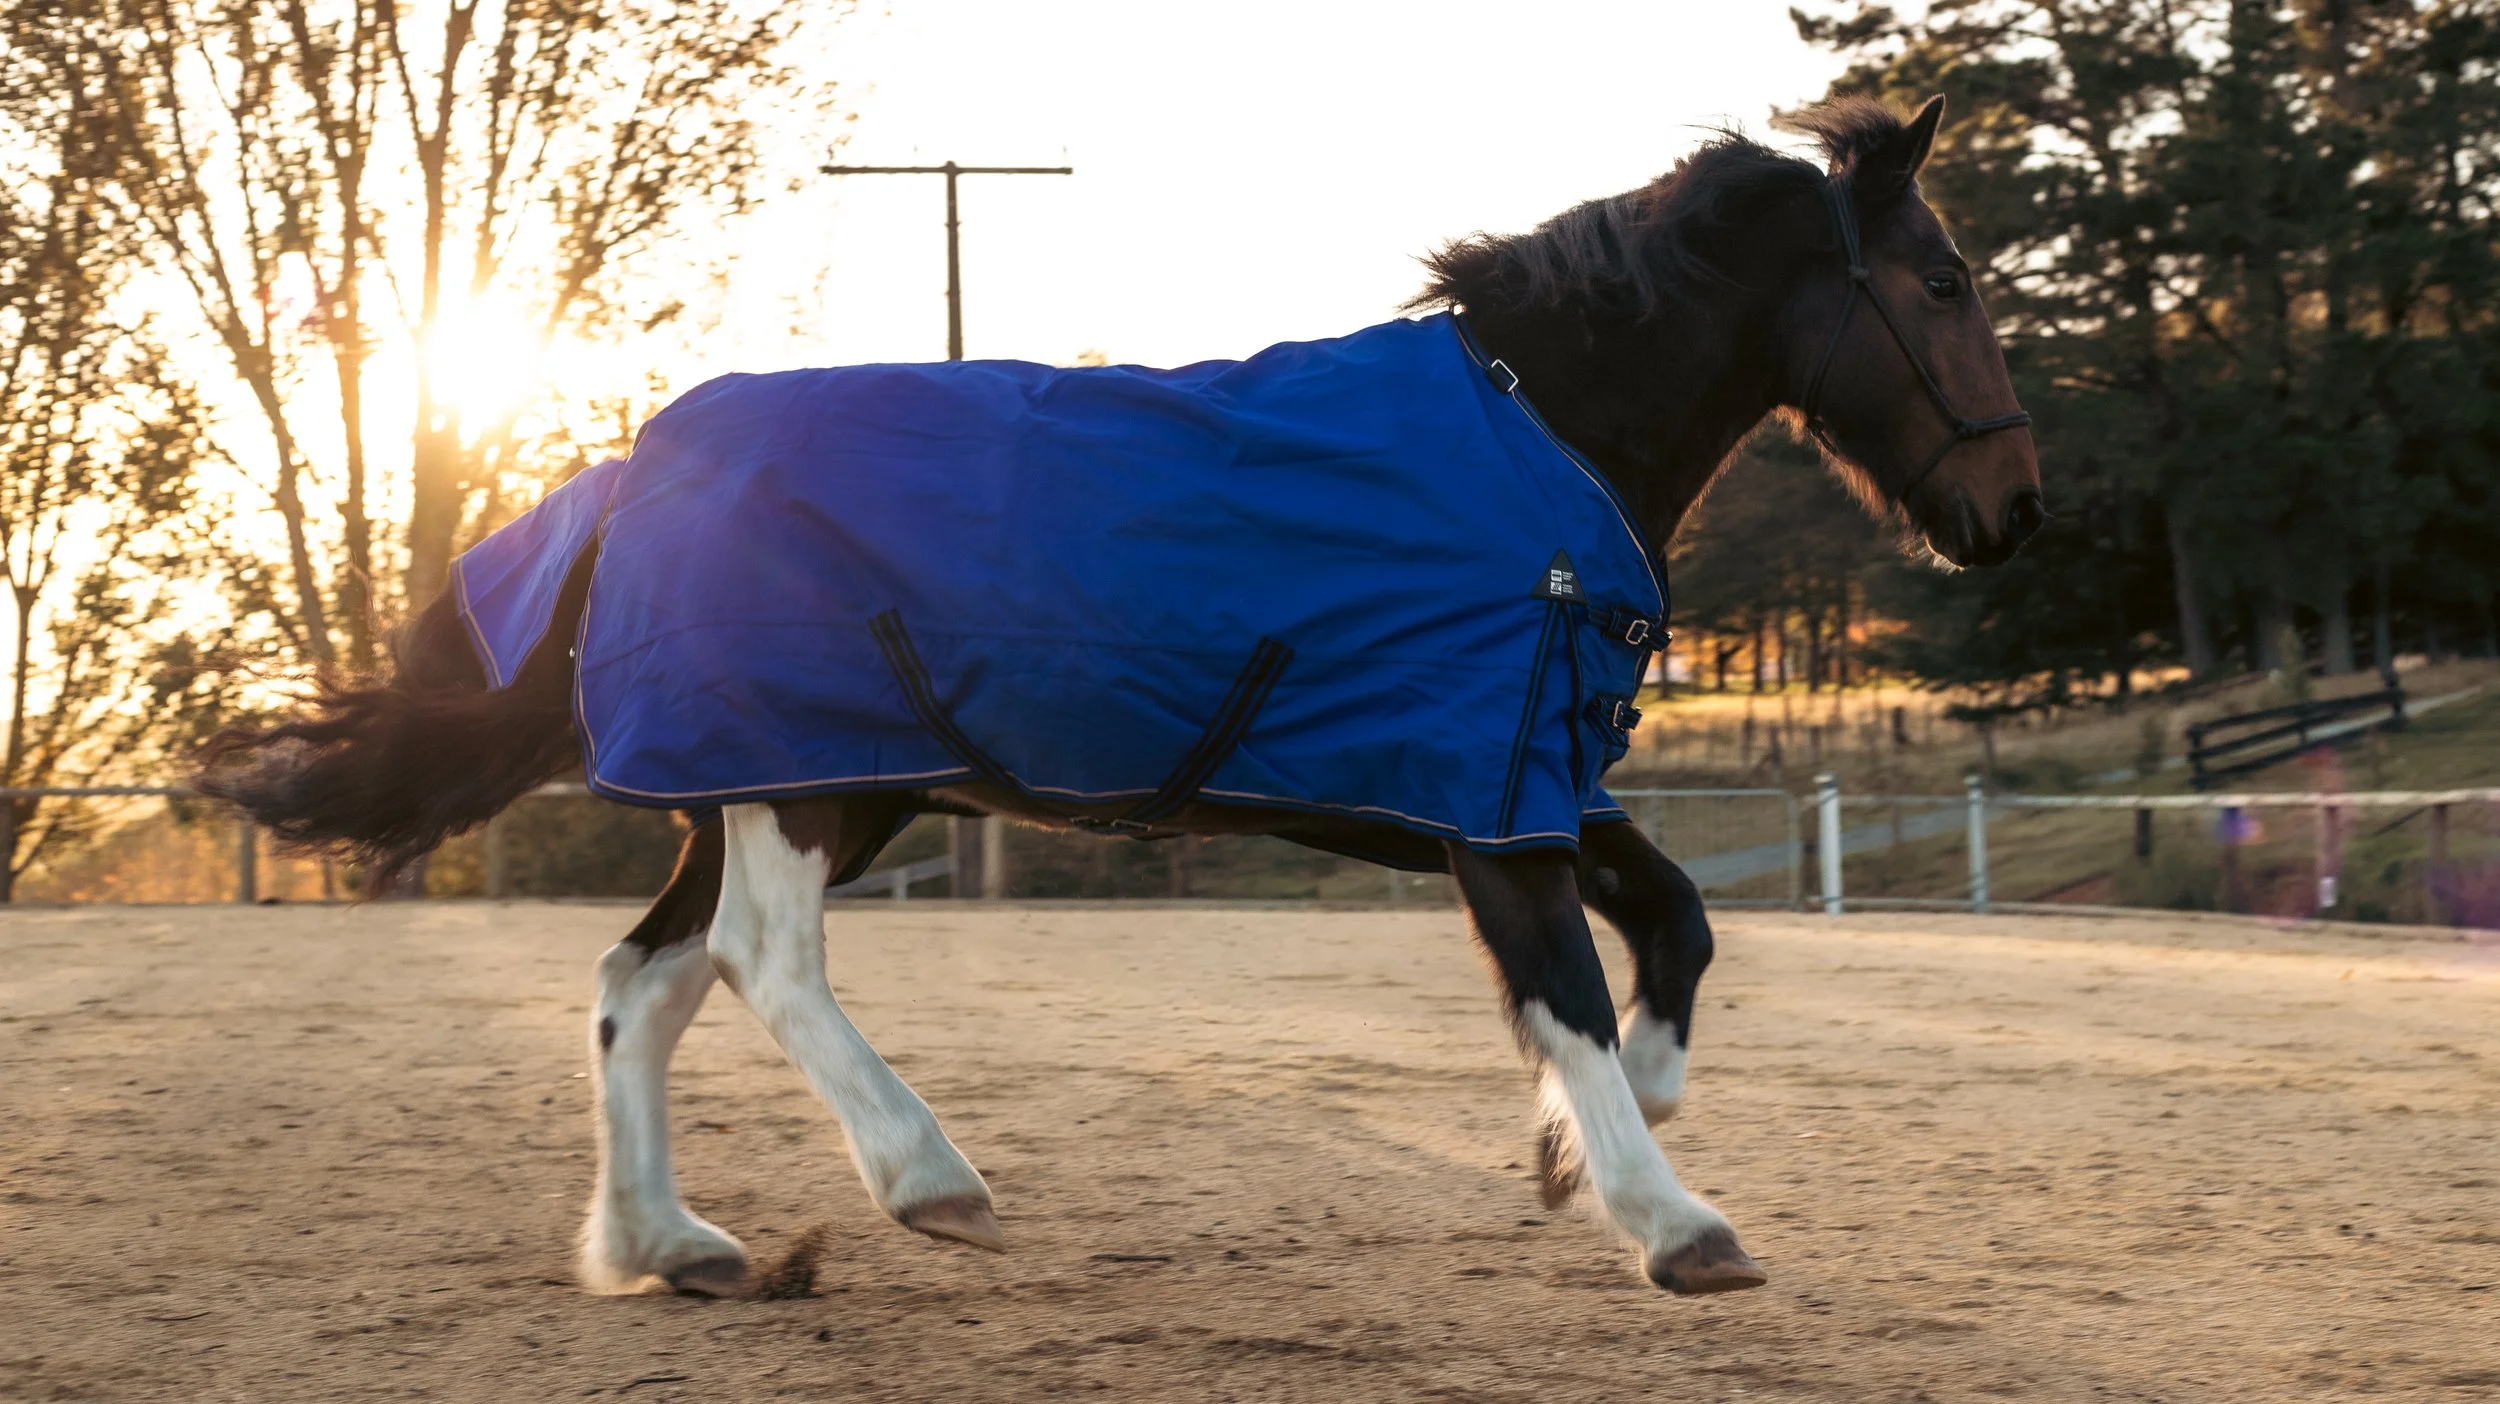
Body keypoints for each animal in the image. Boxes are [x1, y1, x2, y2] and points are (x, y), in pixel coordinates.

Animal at [198, 94, 2041, 1302]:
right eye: (1944, 283)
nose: (2014, 510)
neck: (1535, 432)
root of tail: (635, 468)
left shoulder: (1525, 781)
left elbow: (1676, 924)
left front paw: (1584, 1147)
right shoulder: (1488, 806)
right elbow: (1573, 991)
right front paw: (1669, 1214)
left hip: (788, 785)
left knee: (637, 982)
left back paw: (672, 1243)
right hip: (806, 789)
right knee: (757, 964)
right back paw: (928, 1180)